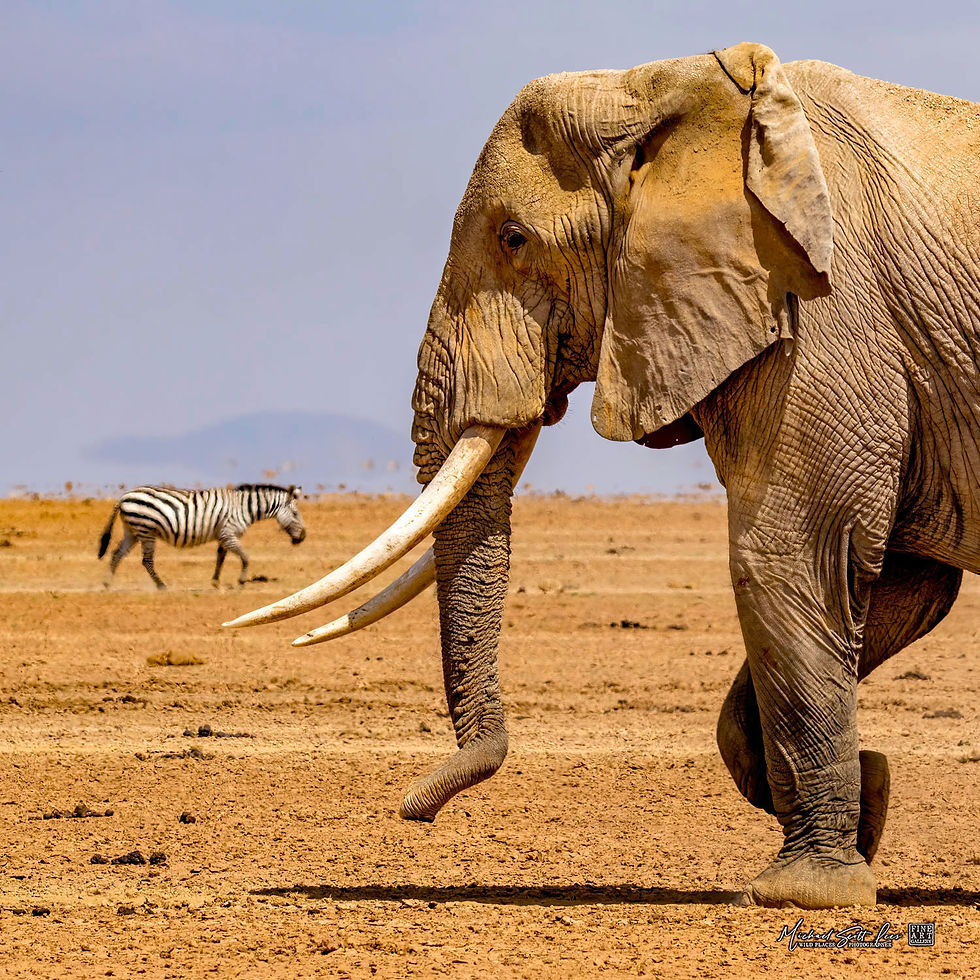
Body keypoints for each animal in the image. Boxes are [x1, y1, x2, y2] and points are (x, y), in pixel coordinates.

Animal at [98, 484, 306, 590]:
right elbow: (245, 557)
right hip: (146, 530)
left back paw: (107, 584)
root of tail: (123, 497)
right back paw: (161, 585)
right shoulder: (229, 533)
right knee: (146, 560)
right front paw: (241, 581)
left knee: (117, 554)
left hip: (133, 531)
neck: (245, 508)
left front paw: (215, 582)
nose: (303, 537)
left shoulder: (223, 535)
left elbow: (220, 557)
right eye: (296, 514)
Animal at [227, 42, 980, 909]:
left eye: (514, 238)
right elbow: (901, 584)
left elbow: (790, 560)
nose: (412, 807)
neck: (674, 88)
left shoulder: (823, 314)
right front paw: (874, 802)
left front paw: (800, 893)